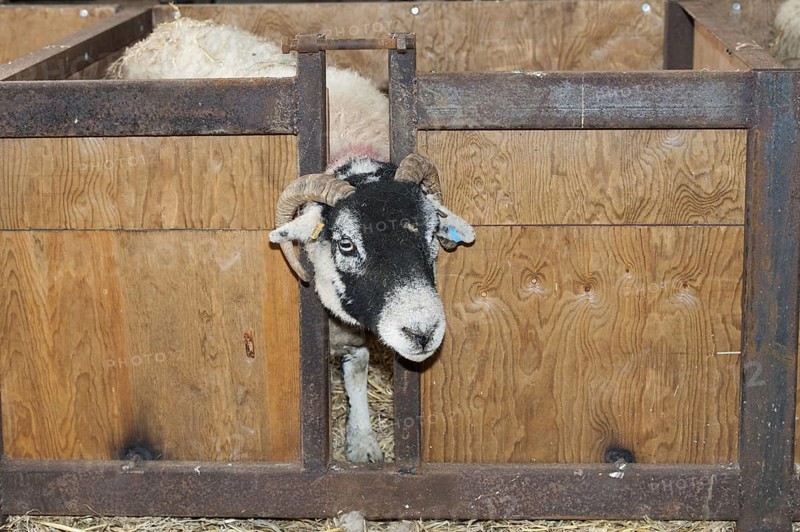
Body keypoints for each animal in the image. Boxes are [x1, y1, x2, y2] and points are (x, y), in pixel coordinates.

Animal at [111, 18, 476, 463]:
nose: (422, 332)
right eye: (346, 243)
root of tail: (171, 25)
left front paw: (362, 440)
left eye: (429, 232)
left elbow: (357, 368)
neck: (350, 154)